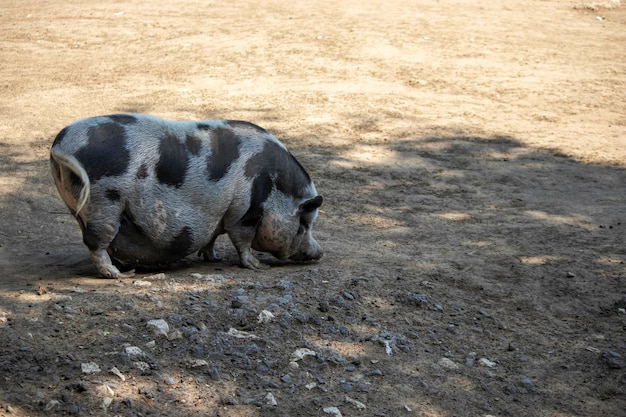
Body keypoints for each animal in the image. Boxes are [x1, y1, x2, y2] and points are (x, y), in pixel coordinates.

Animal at [48, 112, 322, 278]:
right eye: (304, 223)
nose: (319, 253)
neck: (275, 187)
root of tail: (60, 143)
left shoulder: (219, 215)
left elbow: (212, 238)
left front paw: (214, 258)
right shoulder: (245, 213)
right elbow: (242, 241)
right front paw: (257, 266)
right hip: (104, 203)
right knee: (95, 243)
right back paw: (120, 275)